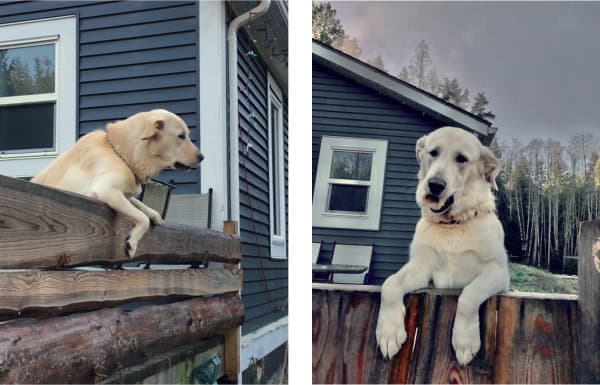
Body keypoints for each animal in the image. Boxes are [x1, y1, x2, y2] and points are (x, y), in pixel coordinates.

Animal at [378, 127, 508, 366]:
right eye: (433, 153)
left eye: (461, 159)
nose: (435, 185)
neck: (452, 226)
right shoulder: (421, 268)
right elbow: (390, 284)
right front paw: (388, 333)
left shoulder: (497, 271)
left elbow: (468, 295)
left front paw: (465, 341)